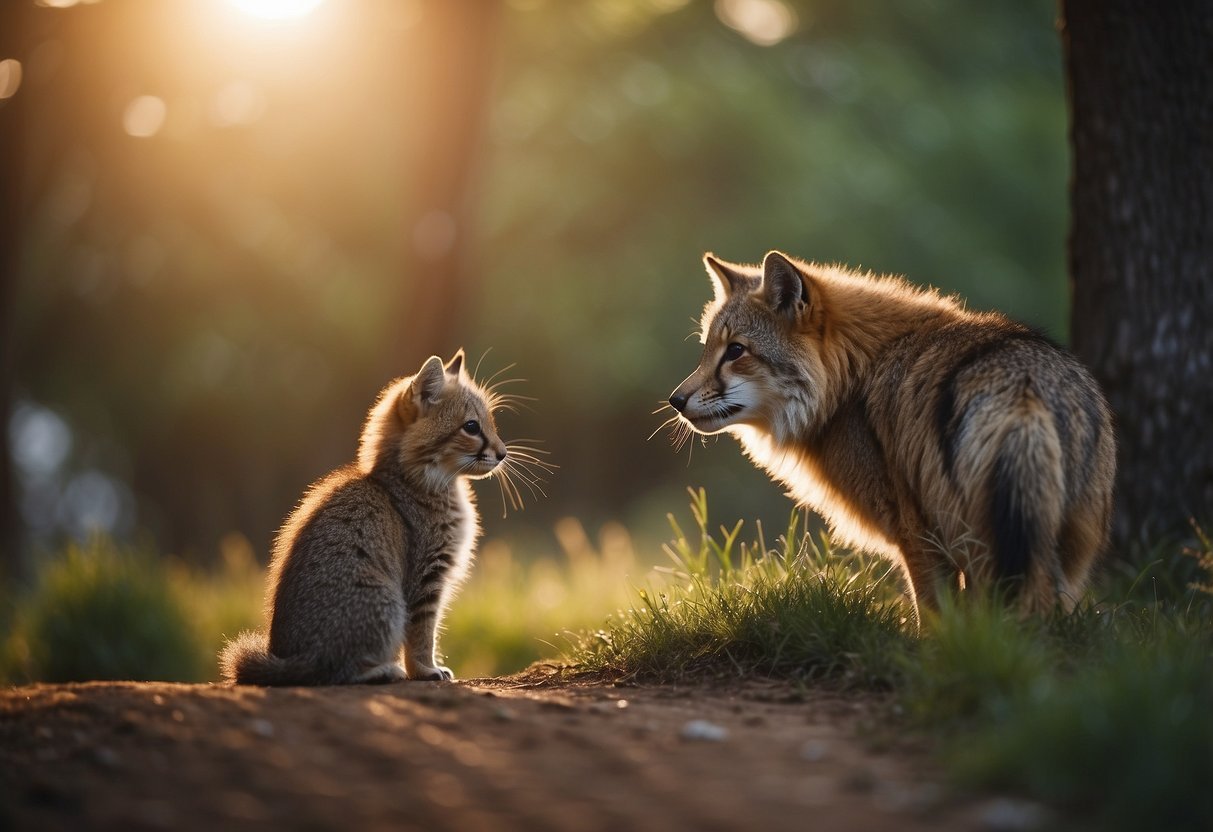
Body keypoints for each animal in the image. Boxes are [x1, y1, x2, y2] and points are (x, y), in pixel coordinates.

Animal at [669, 251, 1111, 620]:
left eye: (736, 351)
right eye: (706, 350)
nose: (675, 401)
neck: (851, 378)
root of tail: (1024, 388)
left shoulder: (919, 542)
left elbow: (935, 621)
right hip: (1060, 561)